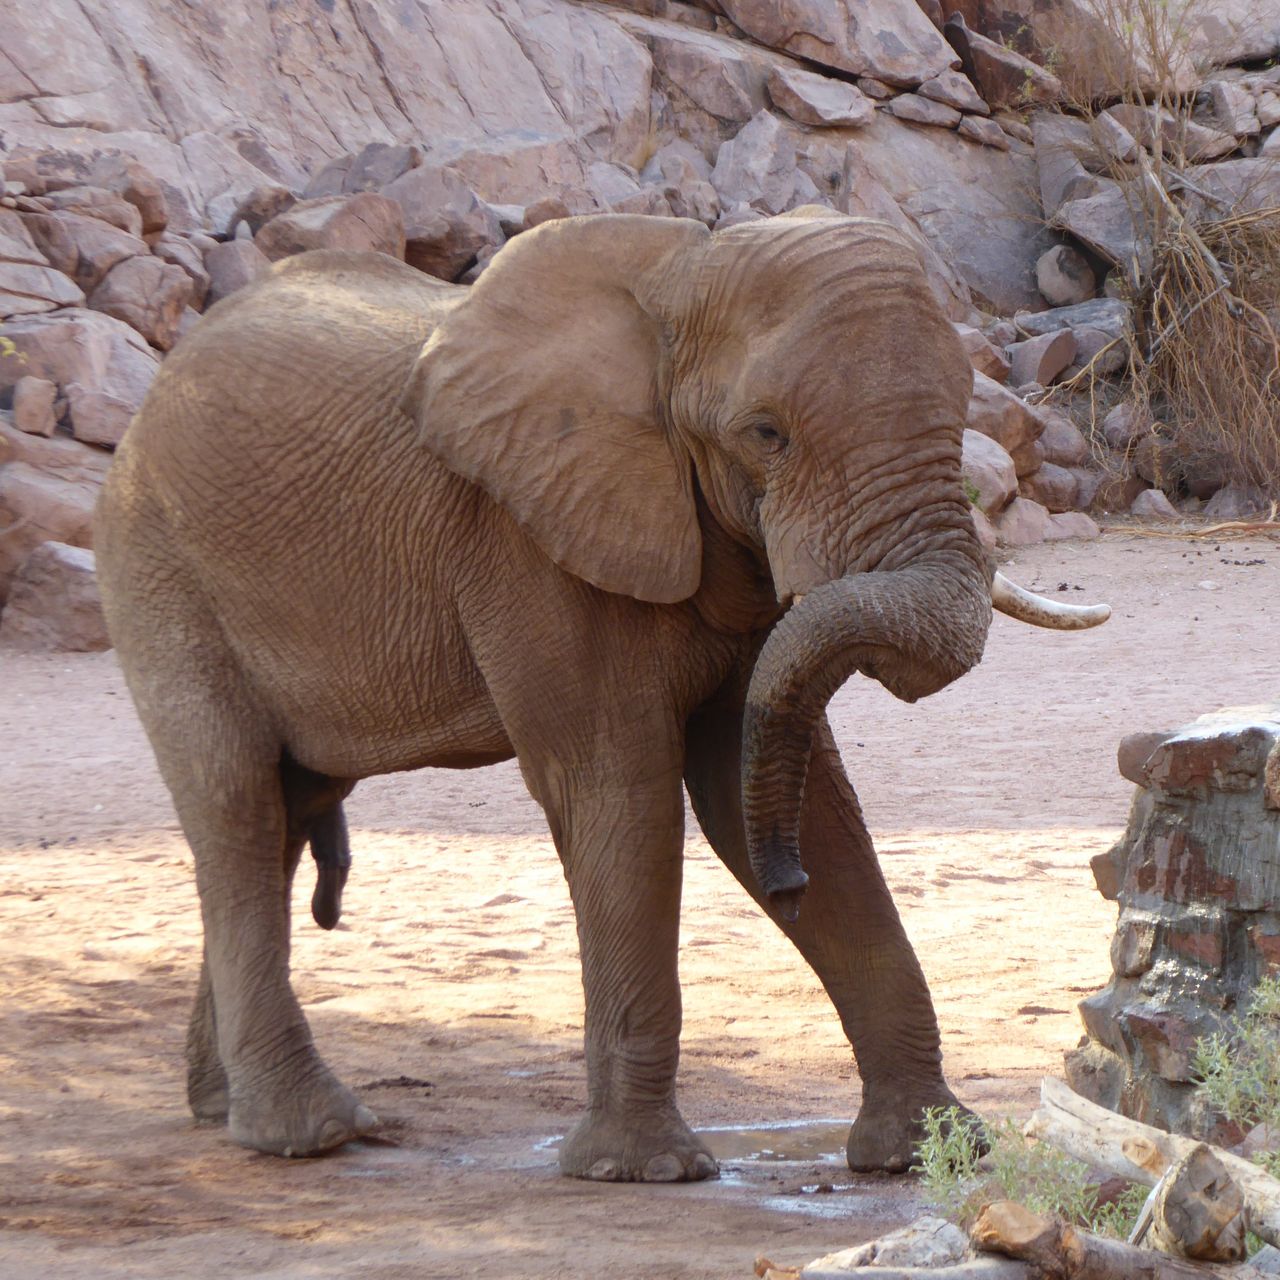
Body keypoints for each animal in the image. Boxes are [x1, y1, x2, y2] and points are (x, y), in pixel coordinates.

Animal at [94, 211, 1108, 1181]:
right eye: (765, 434)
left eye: (964, 407)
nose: (788, 885)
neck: (671, 284)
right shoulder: (526, 537)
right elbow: (621, 789)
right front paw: (643, 1171)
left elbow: (781, 787)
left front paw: (927, 1151)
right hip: (158, 569)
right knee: (237, 806)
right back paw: (309, 1135)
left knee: (286, 813)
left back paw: (224, 1112)